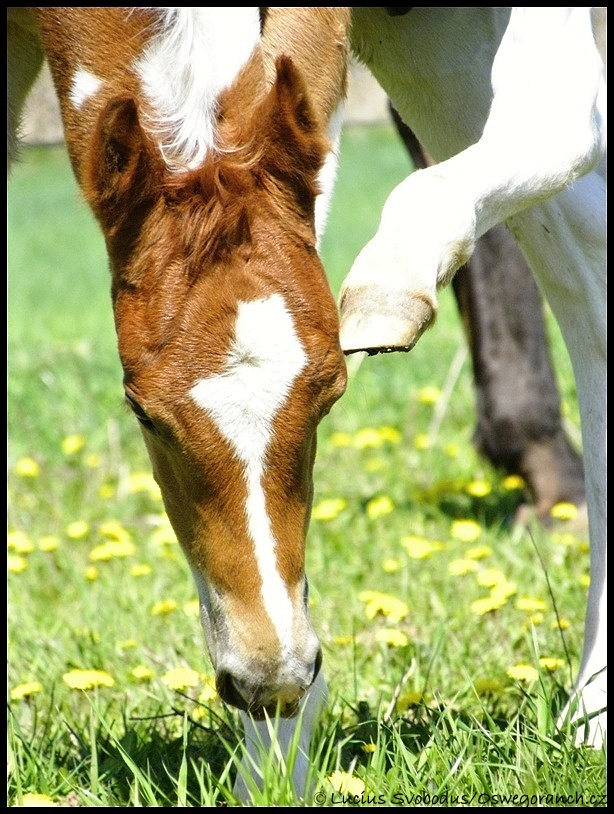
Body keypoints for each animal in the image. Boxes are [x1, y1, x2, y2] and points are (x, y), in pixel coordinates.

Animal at [8, 6, 608, 808]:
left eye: (329, 398)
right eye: (144, 415)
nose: (272, 678)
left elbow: (561, 123)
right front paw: (272, 770)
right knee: (578, 253)